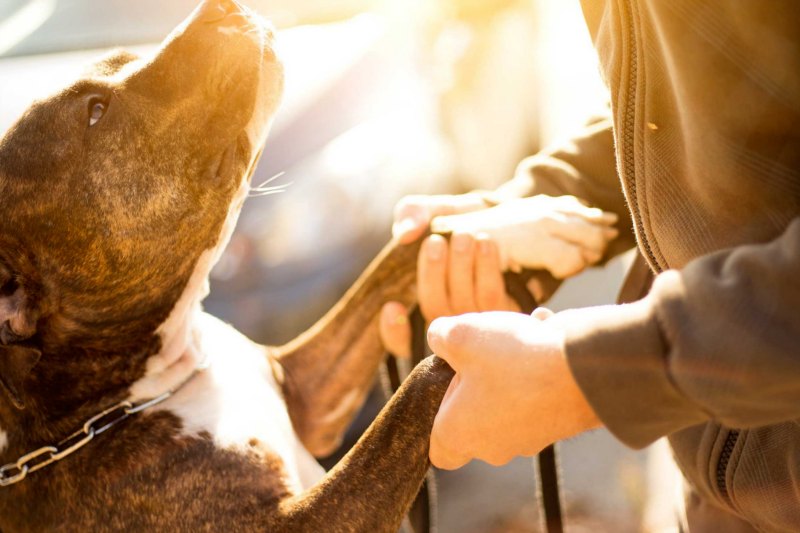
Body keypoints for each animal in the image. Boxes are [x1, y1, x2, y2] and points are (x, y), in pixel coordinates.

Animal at [0, 2, 454, 528]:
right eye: (96, 111)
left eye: (123, 60)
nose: (219, 7)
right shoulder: (299, 521)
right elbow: (417, 388)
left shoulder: (310, 393)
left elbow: (390, 266)